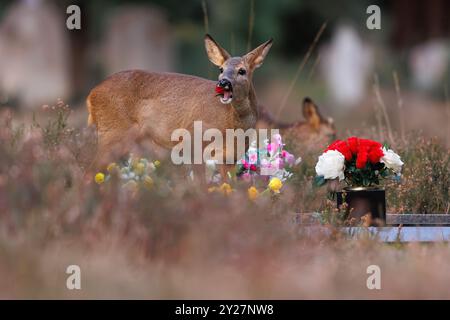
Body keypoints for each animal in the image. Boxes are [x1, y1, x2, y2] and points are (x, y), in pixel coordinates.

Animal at [86, 34, 272, 172]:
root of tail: (91, 94)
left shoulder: (230, 157)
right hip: (113, 132)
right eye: (221, 69)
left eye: (242, 71)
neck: (232, 125)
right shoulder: (195, 142)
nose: (223, 82)